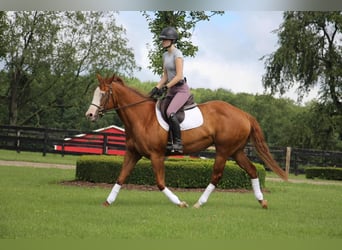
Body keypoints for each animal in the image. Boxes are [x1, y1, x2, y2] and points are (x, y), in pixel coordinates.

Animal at [85, 74, 286, 209]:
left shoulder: (156, 155)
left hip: (223, 151)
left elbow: (160, 182)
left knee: (216, 176)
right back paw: (262, 201)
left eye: (103, 94)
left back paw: (199, 203)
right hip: (236, 151)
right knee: (252, 170)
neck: (142, 117)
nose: (90, 115)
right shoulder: (133, 154)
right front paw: (108, 201)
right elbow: (121, 177)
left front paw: (179, 202)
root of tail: (243, 114)